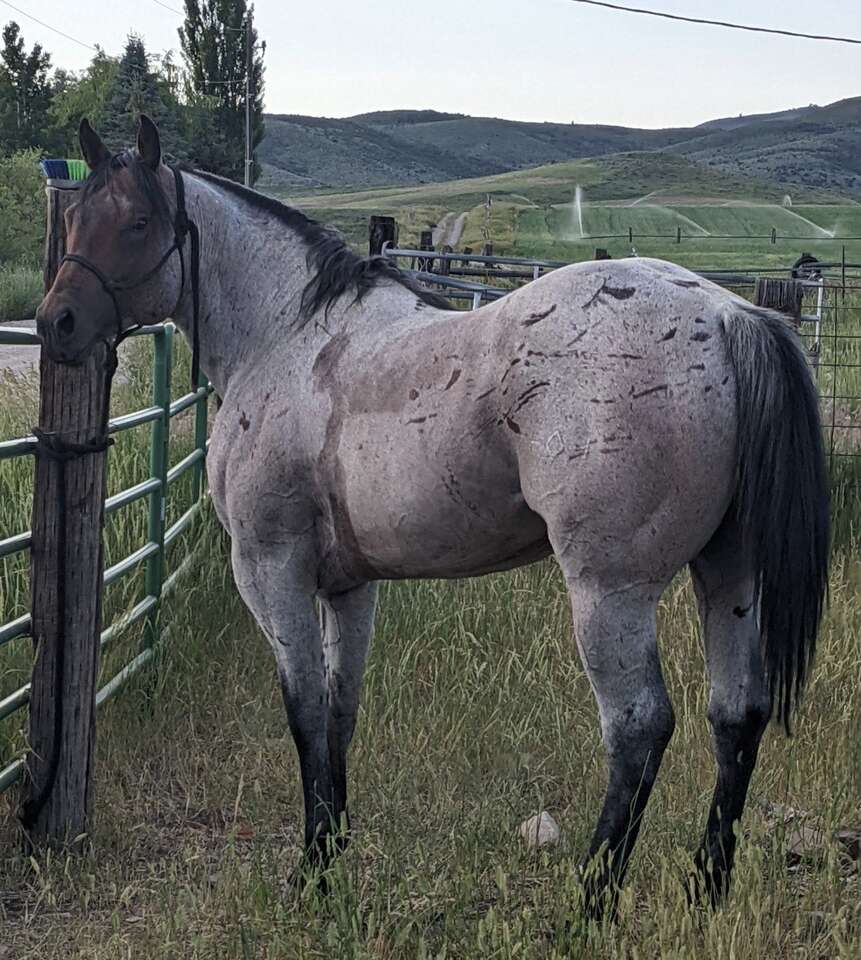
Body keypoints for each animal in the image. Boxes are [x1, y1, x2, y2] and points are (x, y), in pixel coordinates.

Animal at [35, 116, 829, 914]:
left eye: (136, 223)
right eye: (72, 219)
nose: (55, 324)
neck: (288, 338)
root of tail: (727, 315)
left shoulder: (269, 569)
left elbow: (303, 713)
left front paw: (309, 875)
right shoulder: (347, 586)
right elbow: (338, 711)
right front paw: (331, 857)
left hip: (611, 591)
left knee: (638, 728)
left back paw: (592, 903)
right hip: (728, 573)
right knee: (736, 714)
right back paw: (707, 888)